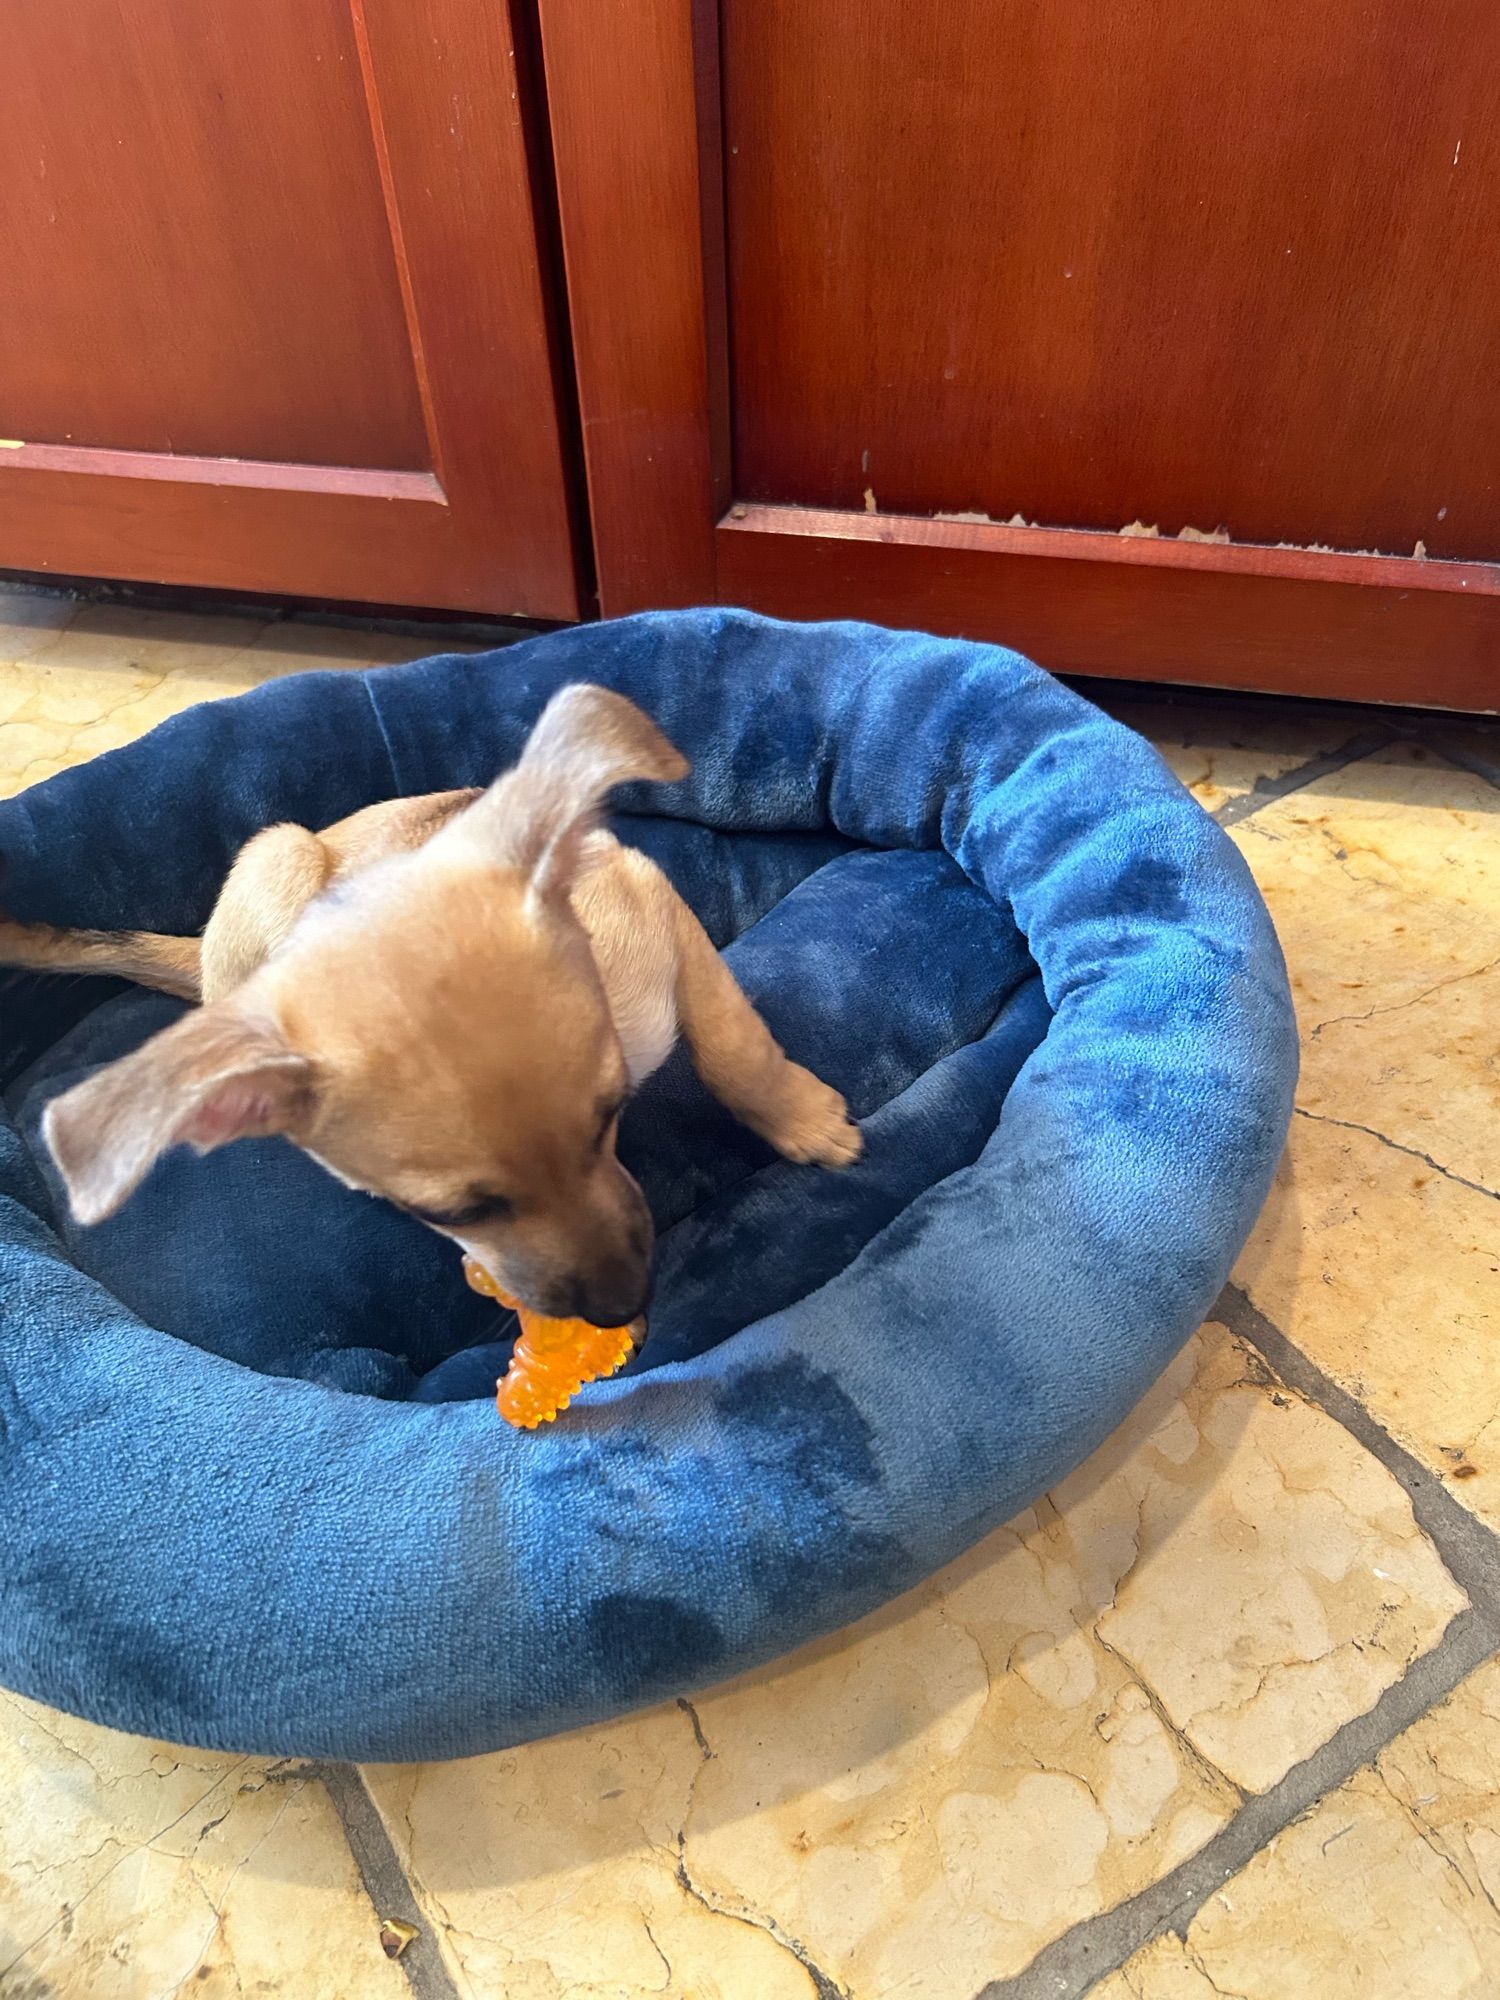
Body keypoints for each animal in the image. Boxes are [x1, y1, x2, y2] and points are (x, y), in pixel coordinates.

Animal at [0, 688, 864, 1328]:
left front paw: (805, 1123)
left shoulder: (658, 909)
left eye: (606, 1118)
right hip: (276, 859)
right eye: (455, 1212)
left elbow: (732, 1045)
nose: (622, 1309)